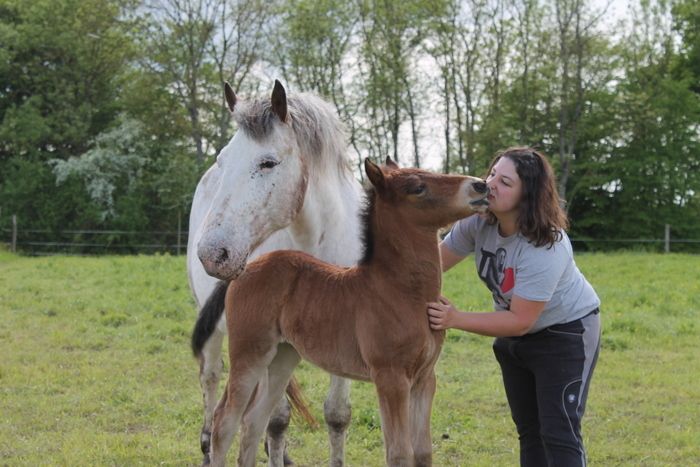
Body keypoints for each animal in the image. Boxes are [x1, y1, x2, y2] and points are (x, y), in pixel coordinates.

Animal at [189, 79, 364, 464]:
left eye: (268, 162)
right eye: (223, 161)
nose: (211, 254)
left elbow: (337, 415)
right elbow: (276, 420)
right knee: (211, 377)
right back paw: (208, 445)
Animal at [208, 159, 486, 466]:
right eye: (417, 188)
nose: (480, 185)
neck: (404, 293)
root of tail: (244, 270)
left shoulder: (425, 378)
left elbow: (423, 452)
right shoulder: (390, 377)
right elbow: (400, 453)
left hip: (282, 356)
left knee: (254, 421)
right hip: (249, 353)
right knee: (225, 422)